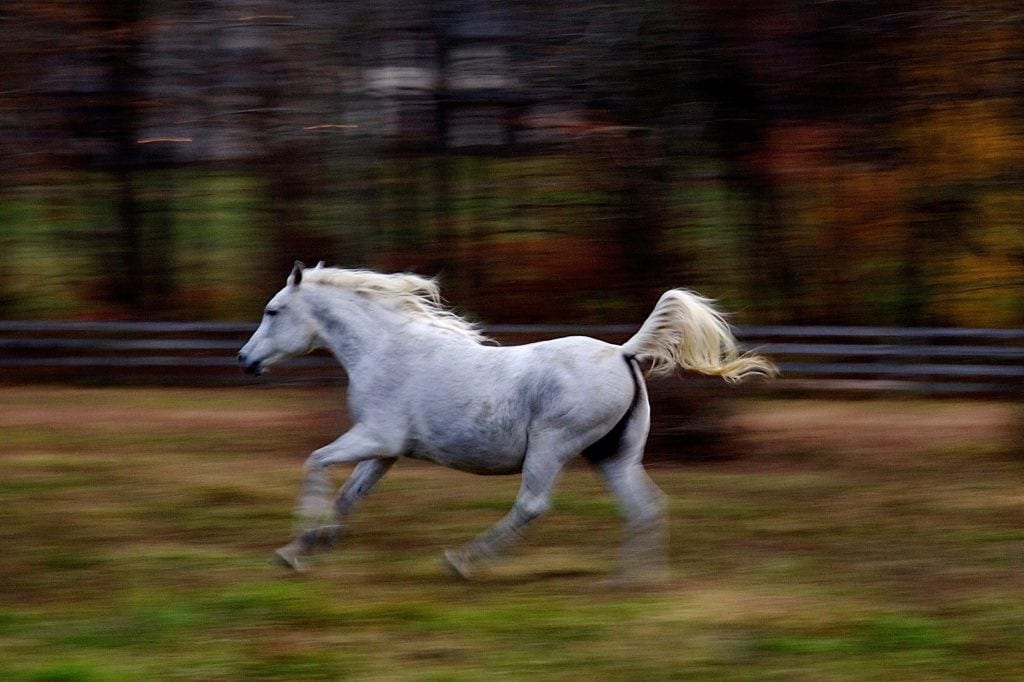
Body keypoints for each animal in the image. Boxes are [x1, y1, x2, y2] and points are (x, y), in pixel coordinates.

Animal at [238, 262, 776, 580]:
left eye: (273, 310)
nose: (244, 359)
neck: (387, 350)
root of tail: (624, 353)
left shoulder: (375, 437)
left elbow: (315, 463)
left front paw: (299, 541)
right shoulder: (386, 451)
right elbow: (350, 496)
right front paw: (304, 547)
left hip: (551, 446)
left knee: (533, 505)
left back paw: (461, 561)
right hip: (612, 456)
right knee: (645, 506)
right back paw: (632, 582)